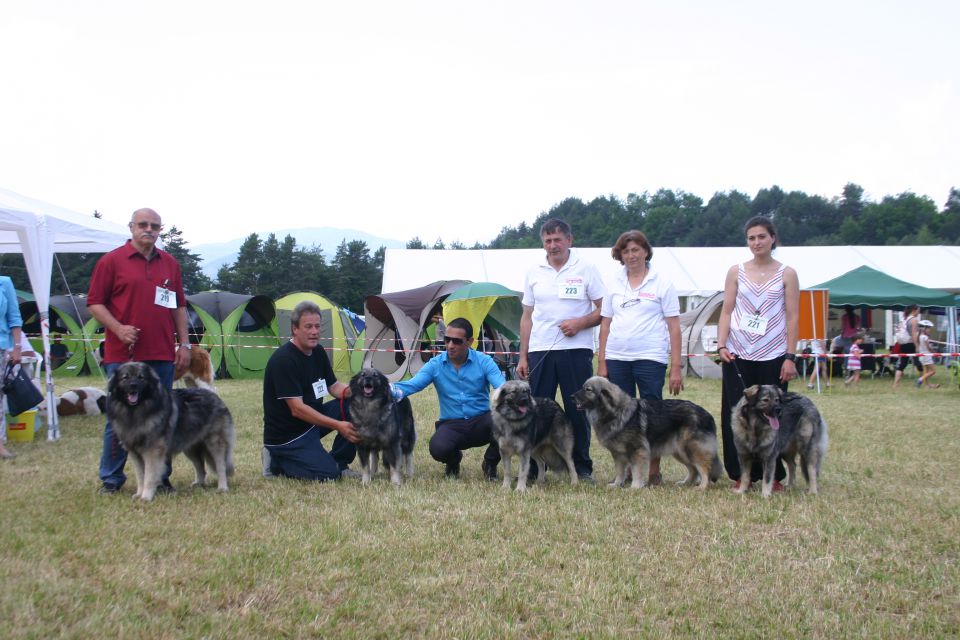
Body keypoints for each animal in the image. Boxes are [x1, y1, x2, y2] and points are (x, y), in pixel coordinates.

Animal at [108, 360, 235, 500]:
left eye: (141, 377)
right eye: (125, 378)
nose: (133, 385)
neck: (135, 411)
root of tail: (215, 396)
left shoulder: (152, 452)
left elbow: (149, 476)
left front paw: (146, 496)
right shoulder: (135, 454)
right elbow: (140, 476)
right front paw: (139, 494)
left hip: (214, 443)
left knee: (220, 466)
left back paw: (222, 487)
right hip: (191, 447)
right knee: (200, 466)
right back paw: (199, 483)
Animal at [568, 376, 720, 490]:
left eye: (588, 390)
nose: (572, 397)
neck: (615, 412)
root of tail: (707, 414)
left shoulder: (637, 451)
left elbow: (636, 470)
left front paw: (635, 487)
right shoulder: (618, 454)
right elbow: (620, 471)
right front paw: (616, 484)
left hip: (690, 448)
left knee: (704, 467)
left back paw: (702, 486)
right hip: (680, 451)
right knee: (693, 469)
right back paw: (685, 483)